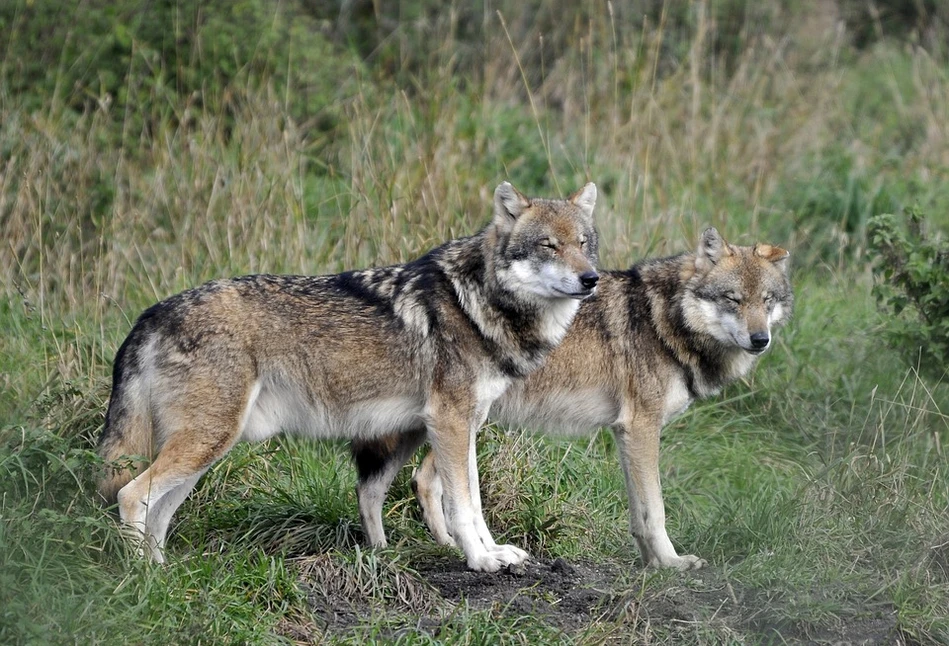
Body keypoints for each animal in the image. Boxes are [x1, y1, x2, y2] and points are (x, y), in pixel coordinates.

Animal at [98, 181, 600, 572]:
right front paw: (480, 560)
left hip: (206, 449)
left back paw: (163, 571)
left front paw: (494, 552)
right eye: (548, 246)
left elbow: (472, 502)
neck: (475, 302)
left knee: (158, 512)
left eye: (583, 243)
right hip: (207, 441)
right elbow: (463, 505)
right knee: (130, 496)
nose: (591, 279)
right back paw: (144, 577)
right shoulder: (451, 423)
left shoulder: (466, 424)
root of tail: (152, 313)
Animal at [352, 229, 788, 572]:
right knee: (416, 482)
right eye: (733, 299)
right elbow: (656, 510)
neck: (662, 320)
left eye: (767, 300)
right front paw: (671, 563)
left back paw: (435, 548)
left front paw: (650, 564)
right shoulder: (641, 428)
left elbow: (639, 513)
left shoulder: (626, 434)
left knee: (417, 481)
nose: (760, 339)